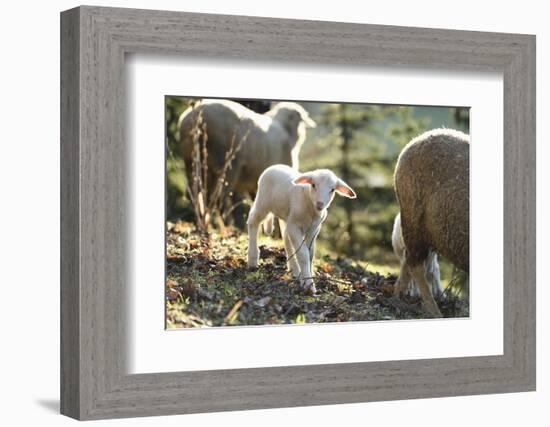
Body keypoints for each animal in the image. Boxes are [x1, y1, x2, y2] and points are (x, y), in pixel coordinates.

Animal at [247, 165, 358, 294]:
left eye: (332, 190)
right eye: (313, 185)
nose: (320, 204)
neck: (311, 207)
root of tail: (275, 166)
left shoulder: (314, 229)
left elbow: (310, 254)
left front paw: (307, 277)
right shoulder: (295, 226)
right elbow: (303, 254)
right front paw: (308, 284)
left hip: (286, 216)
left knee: (286, 237)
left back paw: (294, 270)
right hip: (263, 202)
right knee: (253, 221)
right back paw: (253, 259)